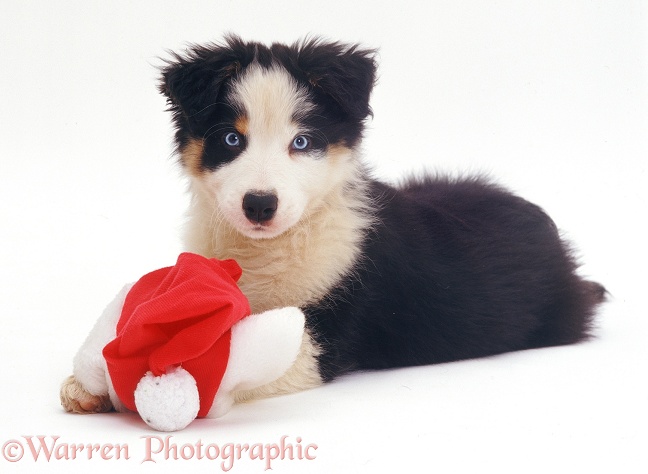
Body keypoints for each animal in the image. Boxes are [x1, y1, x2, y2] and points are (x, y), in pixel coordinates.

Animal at [62, 37, 608, 412]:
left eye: (302, 142)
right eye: (231, 139)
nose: (259, 205)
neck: (270, 248)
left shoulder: (332, 328)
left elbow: (251, 357)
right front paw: (85, 385)